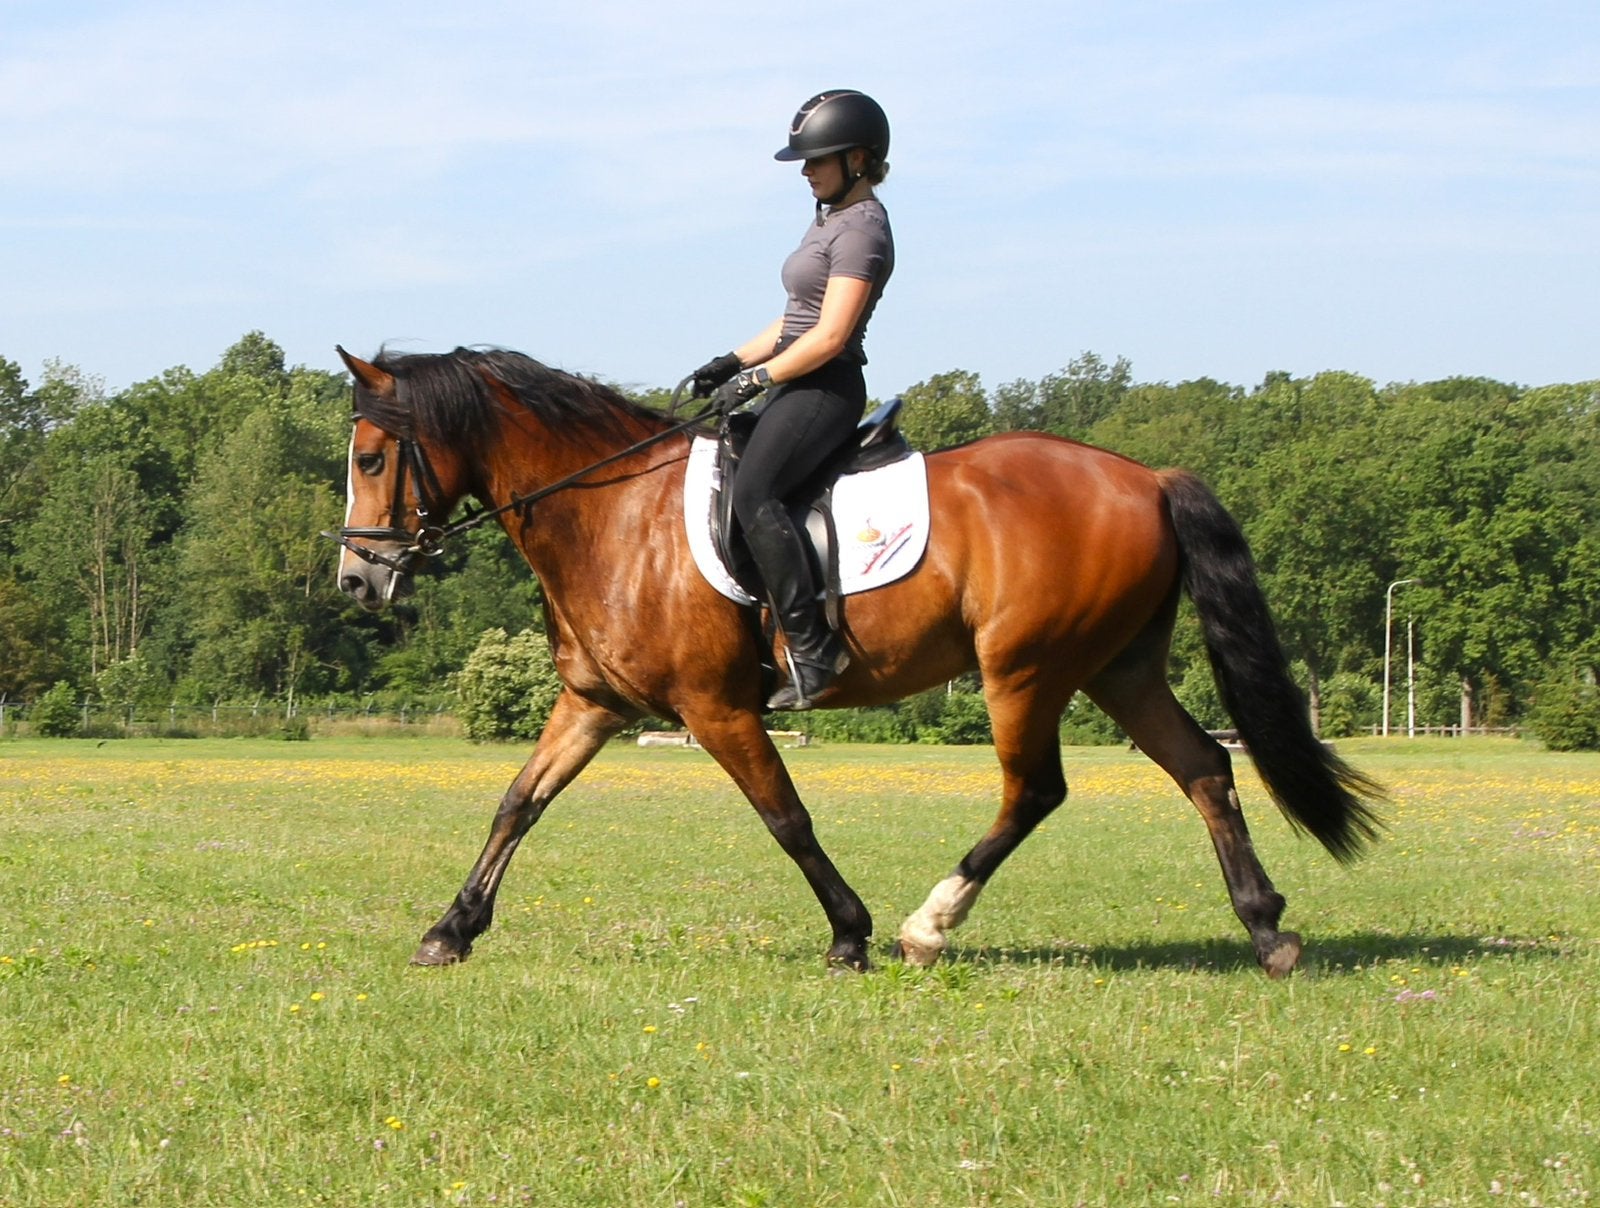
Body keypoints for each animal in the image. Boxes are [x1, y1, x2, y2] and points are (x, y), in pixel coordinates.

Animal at [329, 344, 1383, 977]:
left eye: (374, 459)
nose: (356, 578)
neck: (614, 514)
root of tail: (1147, 477)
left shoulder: (717, 709)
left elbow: (786, 818)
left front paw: (850, 932)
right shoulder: (593, 703)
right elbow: (518, 802)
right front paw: (450, 929)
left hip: (1026, 671)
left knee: (1034, 791)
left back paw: (929, 925)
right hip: (1117, 668)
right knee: (1204, 768)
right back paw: (1266, 927)